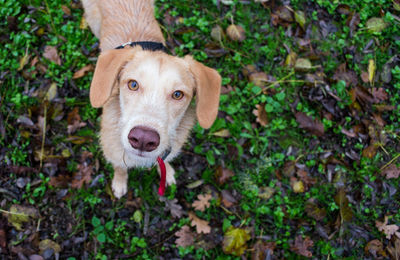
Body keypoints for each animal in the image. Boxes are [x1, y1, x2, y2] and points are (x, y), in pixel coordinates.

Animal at [81, 0, 222, 198]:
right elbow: (120, 168)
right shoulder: (113, 153)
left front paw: (167, 172)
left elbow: (164, 160)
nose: (143, 139)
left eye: (178, 94)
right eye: (133, 84)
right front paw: (119, 183)